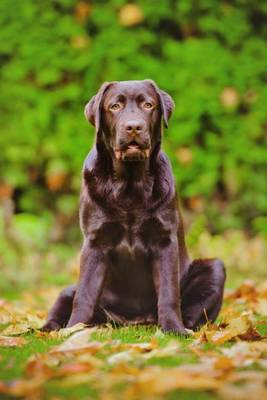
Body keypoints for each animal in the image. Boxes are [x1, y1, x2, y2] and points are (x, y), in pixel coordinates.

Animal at [42, 79, 226, 334]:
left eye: (148, 105)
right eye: (115, 106)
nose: (134, 127)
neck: (129, 186)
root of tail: (133, 322)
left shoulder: (164, 240)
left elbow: (169, 292)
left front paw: (174, 329)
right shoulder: (95, 242)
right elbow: (85, 295)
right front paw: (74, 329)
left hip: (215, 269)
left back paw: (186, 328)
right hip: (67, 291)